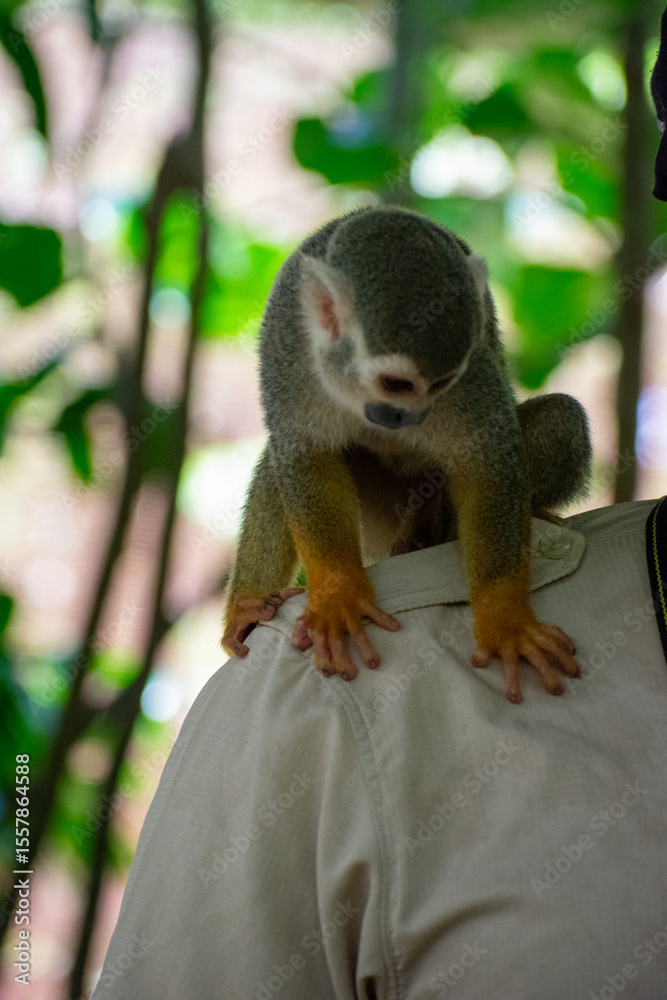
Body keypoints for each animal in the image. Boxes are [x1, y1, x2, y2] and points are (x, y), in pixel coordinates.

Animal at [221, 205, 592, 704]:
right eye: (396, 384)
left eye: (441, 382)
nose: (409, 417)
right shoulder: (286, 345)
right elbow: (304, 454)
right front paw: (338, 595)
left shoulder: (470, 370)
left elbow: (489, 463)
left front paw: (505, 621)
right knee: (277, 466)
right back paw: (251, 606)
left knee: (560, 417)